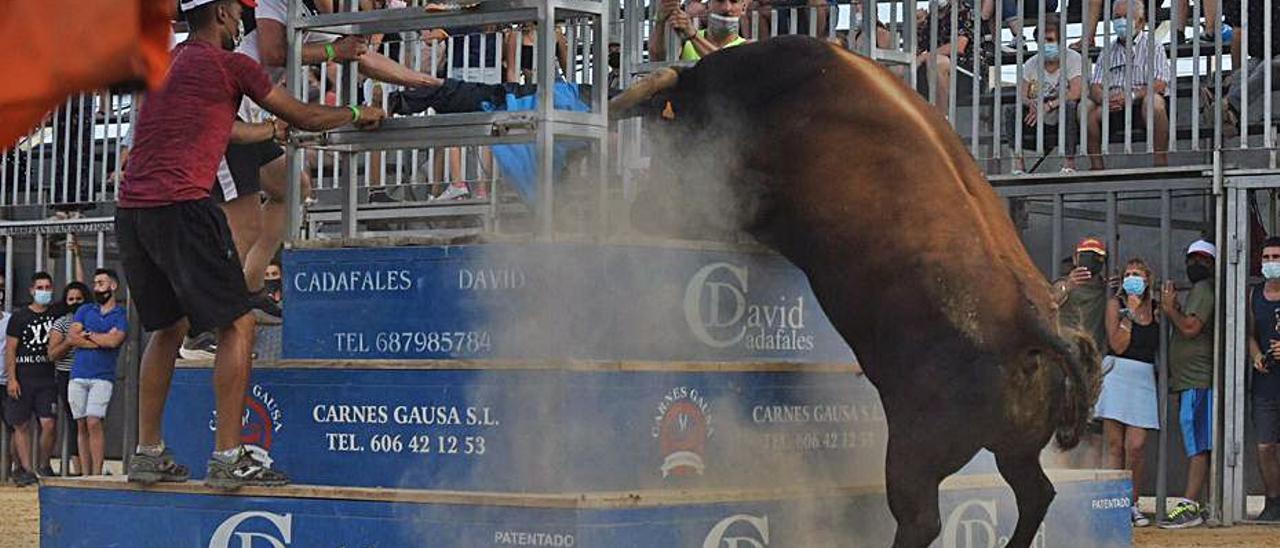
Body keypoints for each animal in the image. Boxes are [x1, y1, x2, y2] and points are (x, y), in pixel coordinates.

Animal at [609, 35, 1100, 548]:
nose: (645, 208)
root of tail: (1034, 324)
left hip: (914, 449)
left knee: (922, 518)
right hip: (1014, 450)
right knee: (1036, 494)